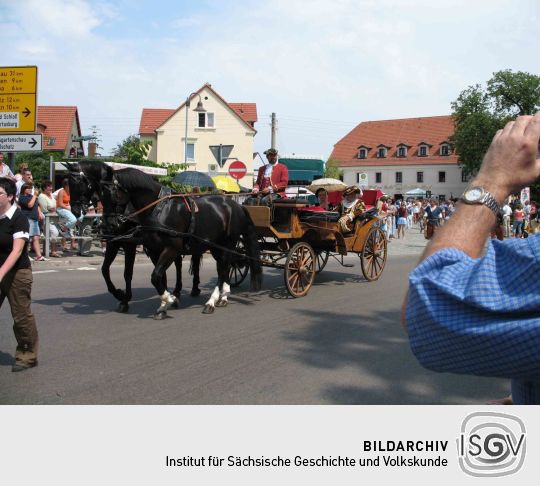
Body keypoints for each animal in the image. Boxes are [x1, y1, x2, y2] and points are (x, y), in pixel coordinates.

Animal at [67, 161, 190, 314]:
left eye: (78, 183)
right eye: (69, 183)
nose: (74, 210)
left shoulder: (130, 244)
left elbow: (127, 273)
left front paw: (125, 298)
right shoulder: (114, 242)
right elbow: (104, 269)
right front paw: (119, 294)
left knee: (178, 264)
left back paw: (177, 292)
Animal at [109, 167, 262, 318]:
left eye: (111, 192)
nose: (111, 224)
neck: (159, 208)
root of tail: (237, 205)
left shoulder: (171, 249)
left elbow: (156, 276)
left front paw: (171, 299)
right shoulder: (154, 251)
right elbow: (160, 278)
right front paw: (164, 306)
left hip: (227, 243)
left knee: (223, 268)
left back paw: (211, 302)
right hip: (216, 246)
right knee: (225, 267)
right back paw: (223, 297)